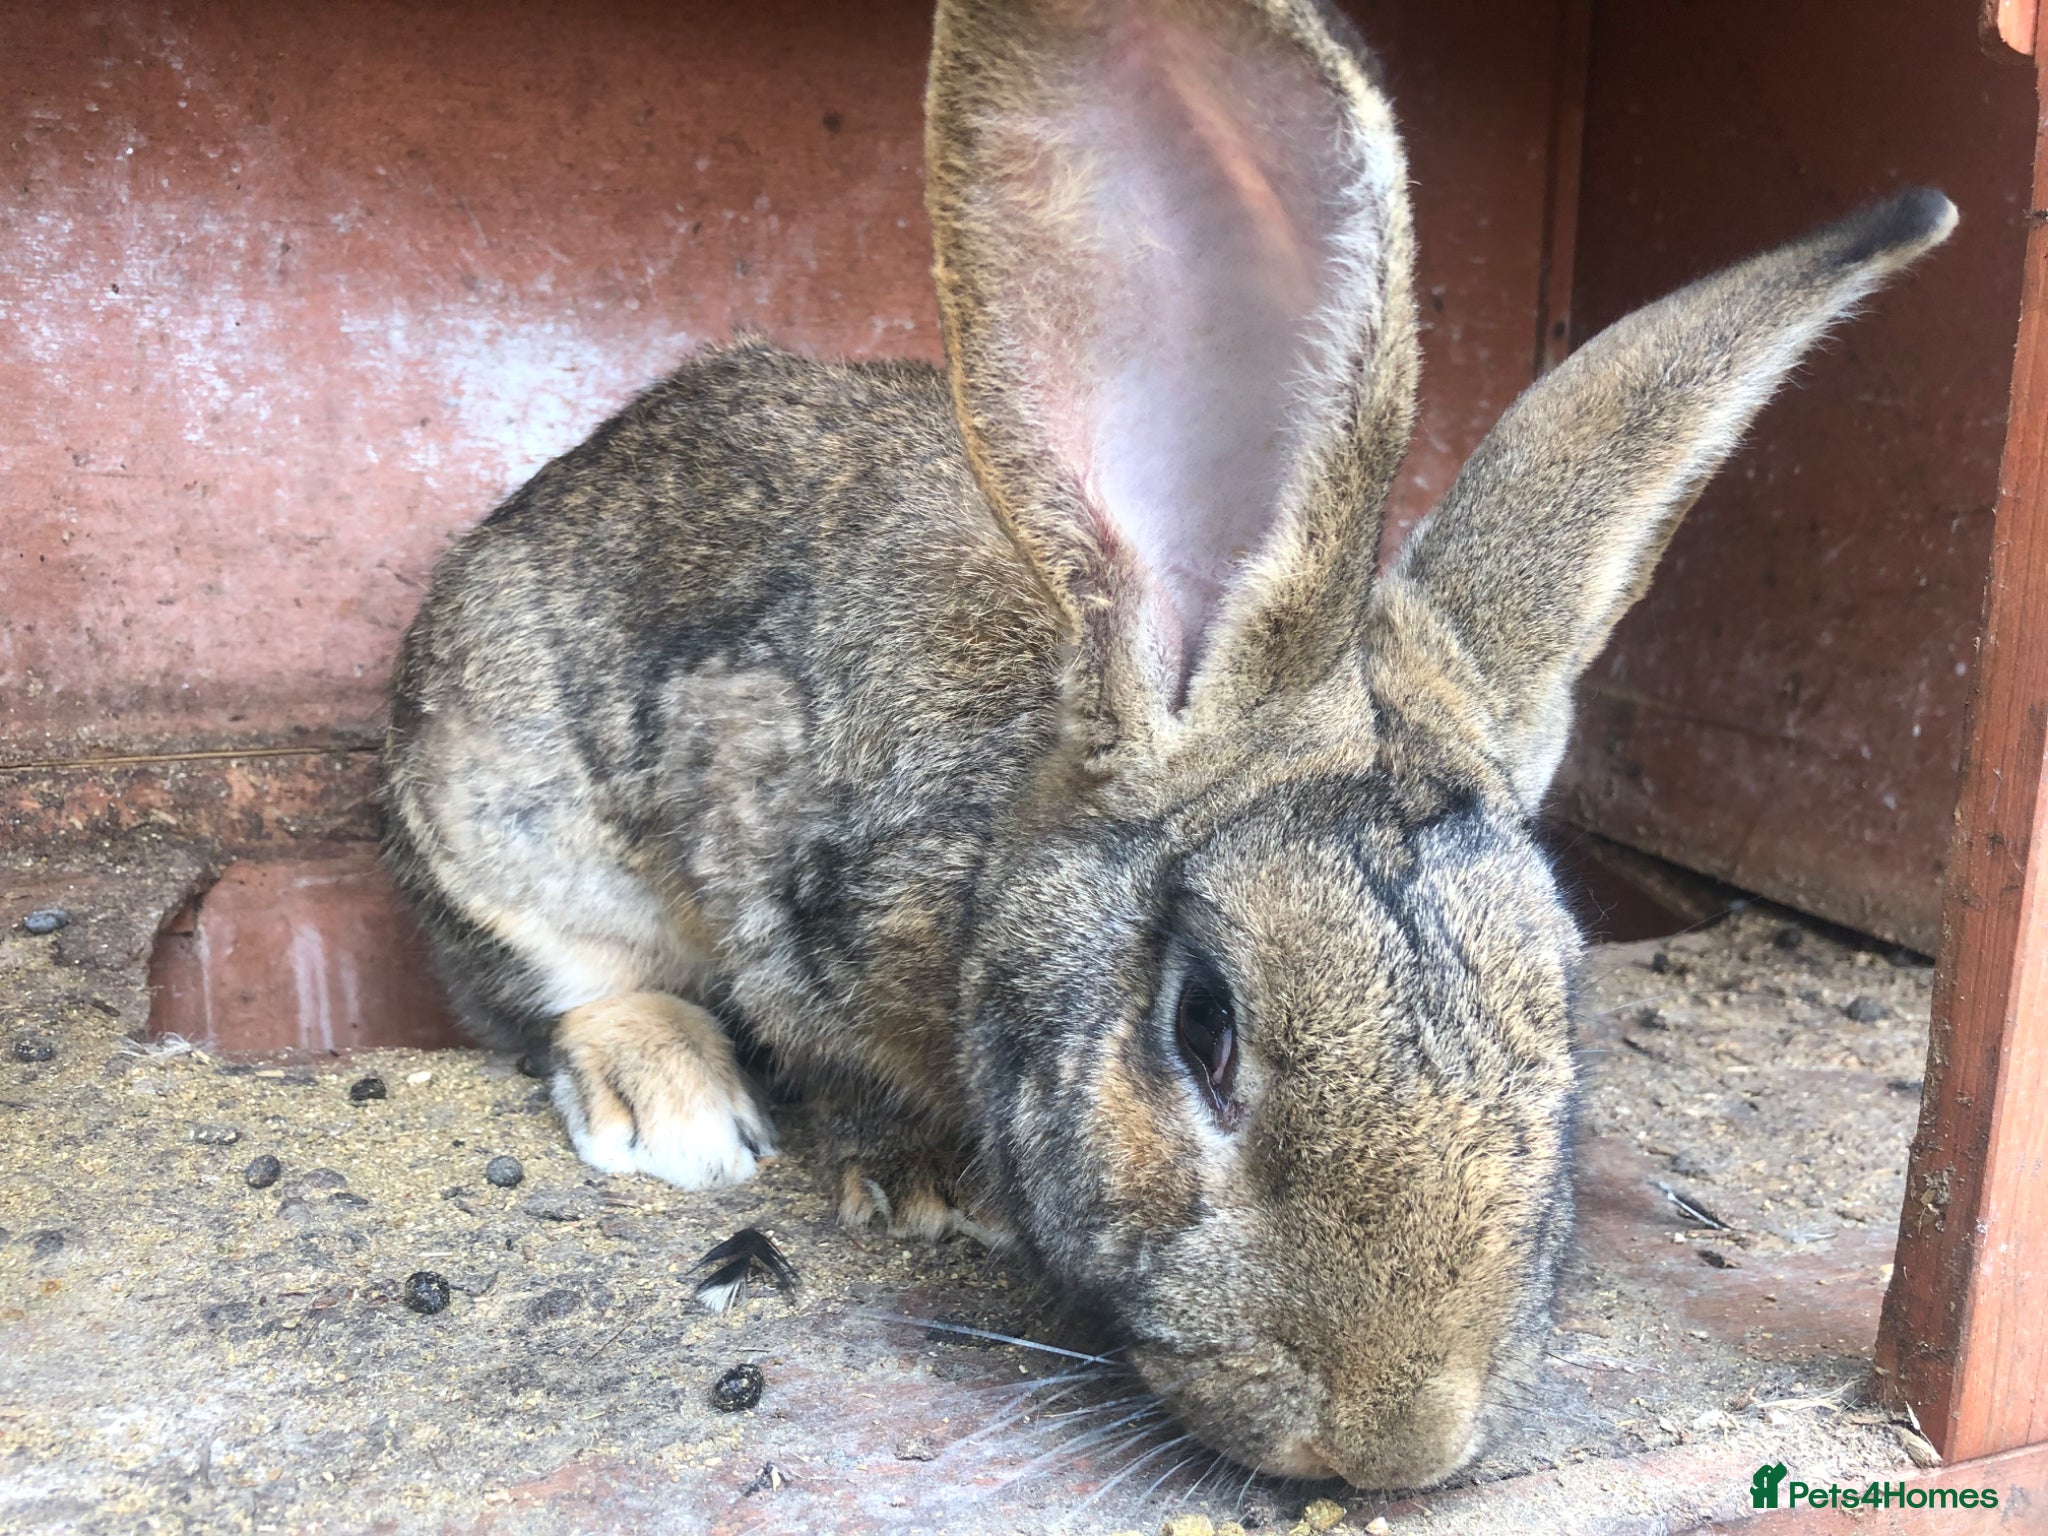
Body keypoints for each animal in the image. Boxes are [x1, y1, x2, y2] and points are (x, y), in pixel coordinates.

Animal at [379, 0, 1956, 1490]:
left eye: (1564, 1008)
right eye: (1204, 1027)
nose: (1395, 1438)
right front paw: (920, 1182)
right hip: (493, 781)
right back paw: (669, 1100)